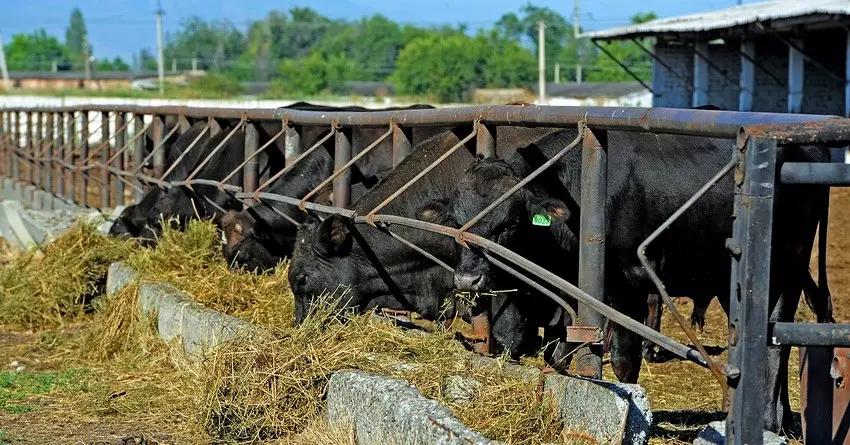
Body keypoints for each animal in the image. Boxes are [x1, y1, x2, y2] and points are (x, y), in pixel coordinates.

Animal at [416, 128, 832, 432]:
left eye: (508, 223)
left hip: (785, 270)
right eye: (457, 220)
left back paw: (769, 422)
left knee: (777, 344)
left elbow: (623, 360)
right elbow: (557, 354)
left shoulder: (629, 287)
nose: (467, 279)